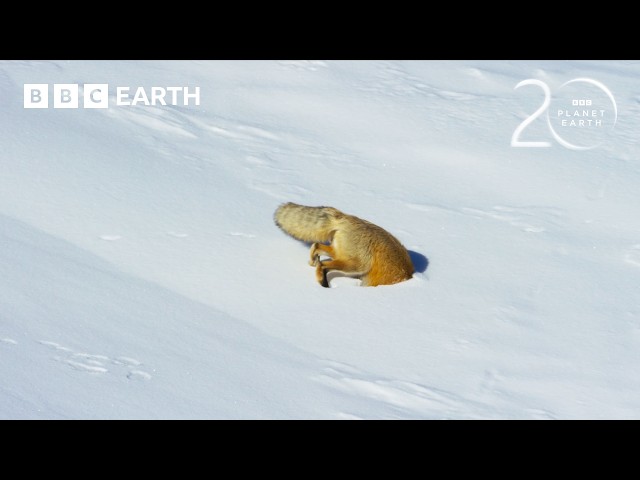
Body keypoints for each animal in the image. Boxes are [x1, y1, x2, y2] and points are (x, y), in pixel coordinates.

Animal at [274, 202, 414, 287]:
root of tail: (346, 217)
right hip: (357, 265)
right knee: (323, 265)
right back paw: (323, 284)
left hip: (339, 254)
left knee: (316, 246)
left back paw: (313, 262)